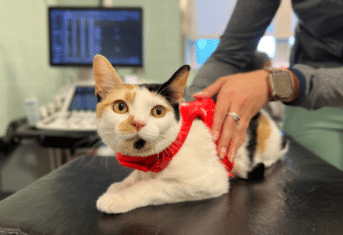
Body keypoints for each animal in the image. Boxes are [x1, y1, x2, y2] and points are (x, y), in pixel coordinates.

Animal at [92, 54, 288, 214]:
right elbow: (137, 176)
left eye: (158, 111)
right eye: (120, 107)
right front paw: (121, 185)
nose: (138, 122)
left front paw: (119, 197)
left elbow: (151, 185)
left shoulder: (209, 181)